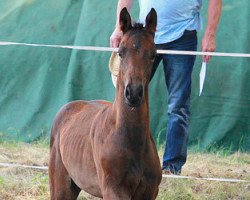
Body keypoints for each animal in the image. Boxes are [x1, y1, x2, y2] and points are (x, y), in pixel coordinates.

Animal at [48, 7, 162, 200]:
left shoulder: (149, 191)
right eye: (121, 52)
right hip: (61, 187)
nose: (133, 93)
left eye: (153, 55)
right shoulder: (113, 189)